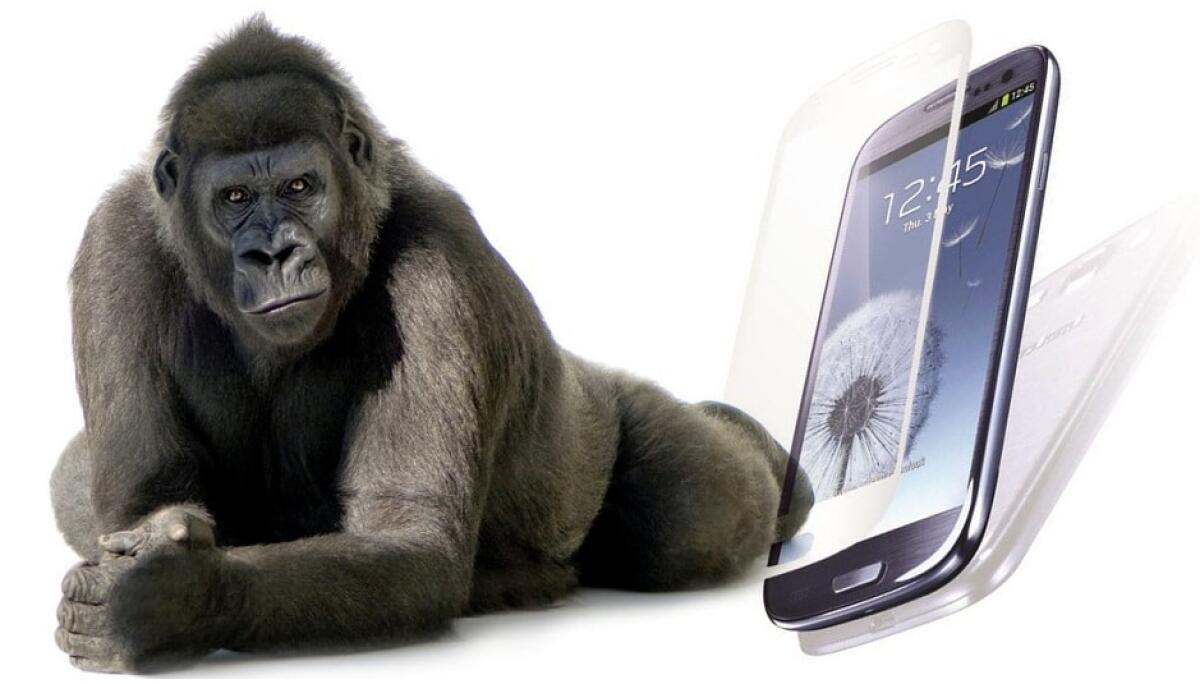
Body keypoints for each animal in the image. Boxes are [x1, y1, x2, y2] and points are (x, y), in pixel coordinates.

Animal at [49, 16, 813, 673]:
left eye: (300, 186)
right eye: (234, 198)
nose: (273, 253)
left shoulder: (437, 256)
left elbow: (407, 540)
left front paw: (174, 602)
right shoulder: (114, 238)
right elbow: (150, 494)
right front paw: (165, 569)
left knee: (685, 511)